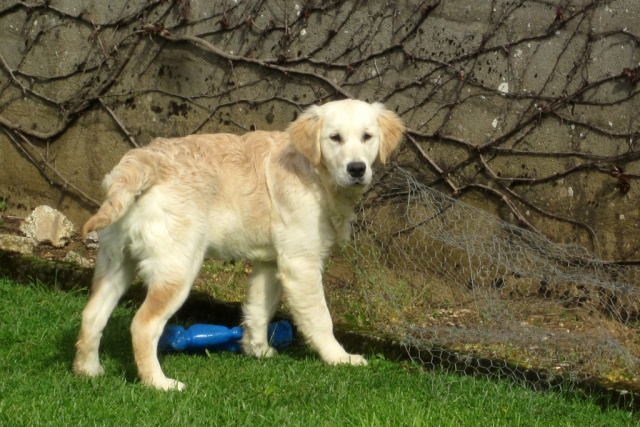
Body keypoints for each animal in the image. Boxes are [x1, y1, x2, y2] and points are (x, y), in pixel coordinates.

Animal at [74, 99, 404, 392]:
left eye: (367, 136)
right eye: (335, 138)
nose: (357, 169)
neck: (314, 172)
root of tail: (143, 161)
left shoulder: (269, 263)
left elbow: (258, 309)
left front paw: (258, 351)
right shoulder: (300, 262)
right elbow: (320, 317)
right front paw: (339, 357)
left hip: (116, 261)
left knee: (91, 314)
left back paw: (88, 371)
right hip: (177, 268)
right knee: (143, 325)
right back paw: (159, 384)